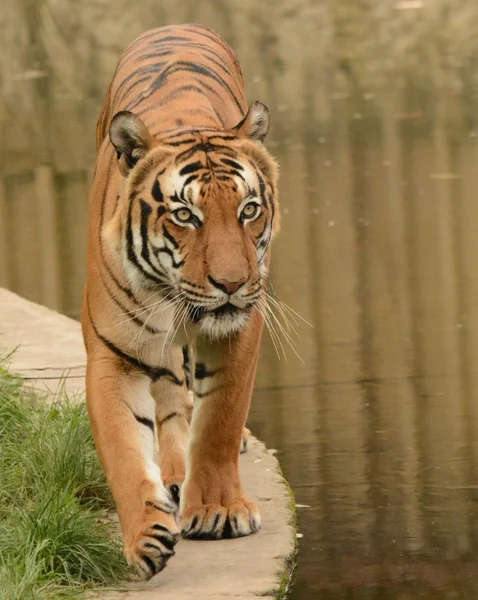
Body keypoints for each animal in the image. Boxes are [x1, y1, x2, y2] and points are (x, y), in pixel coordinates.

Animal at [81, 24, 278, 580]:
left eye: (248, 209)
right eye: (185, 215)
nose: (232, 283)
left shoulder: (242, 328)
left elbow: (219, 421)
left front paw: (218, 510)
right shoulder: (112, 353)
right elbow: (124, 447)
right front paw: (144, 538)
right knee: (170, 394)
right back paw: (171, 474)